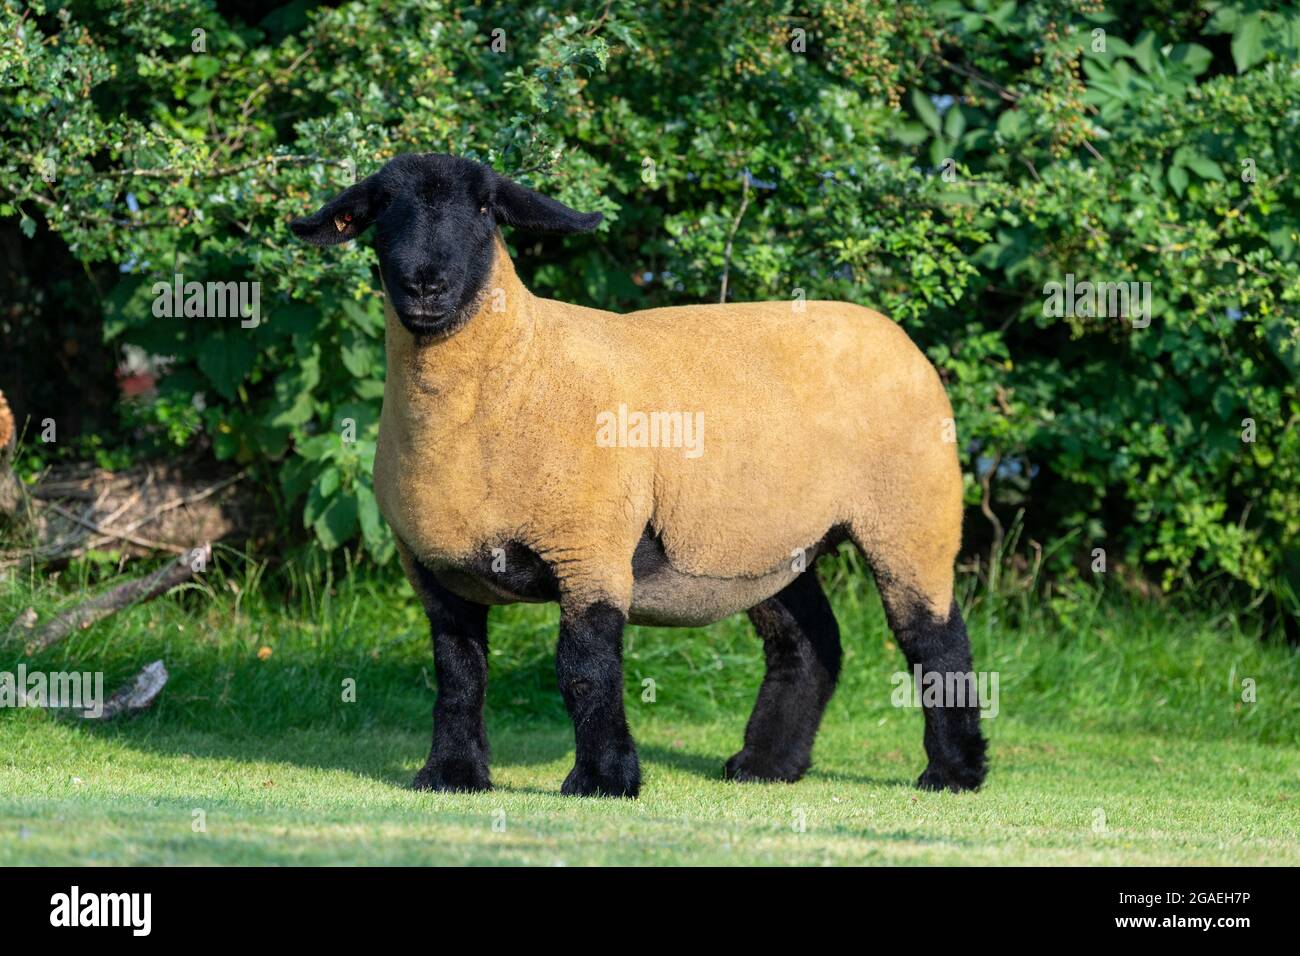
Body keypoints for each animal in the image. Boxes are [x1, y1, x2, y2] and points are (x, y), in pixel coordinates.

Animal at [292, 155, 982, 801]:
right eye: (381, 209)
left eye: (486, 209)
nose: (425, 284)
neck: (516, 366)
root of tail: (892, 331)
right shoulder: (434, 569)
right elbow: (459, 676)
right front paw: (451, 775)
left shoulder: (588, 546)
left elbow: (584, 670)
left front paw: (603, 779)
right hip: (766, 542)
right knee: (809, 644)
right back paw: (765, 765)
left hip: (910, 512)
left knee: (936, 638)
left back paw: (953, 773)